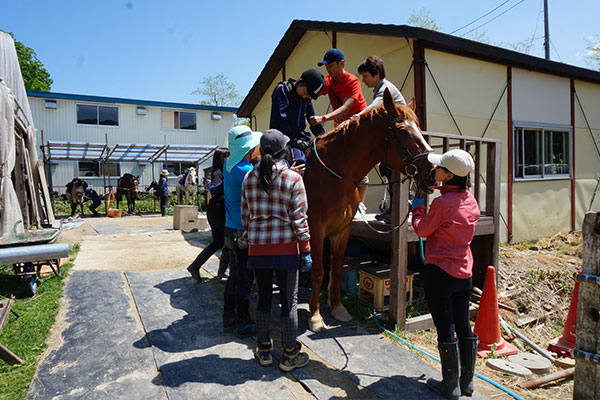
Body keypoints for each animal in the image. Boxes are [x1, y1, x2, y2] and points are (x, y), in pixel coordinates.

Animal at [304, 90, 436, 332]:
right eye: (403, 131)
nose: (432, 172)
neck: (335, 176)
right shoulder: (316, 229)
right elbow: (318, 271)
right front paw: (315, 316)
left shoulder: (342, 230)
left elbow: (337, 268)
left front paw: (337, 307)